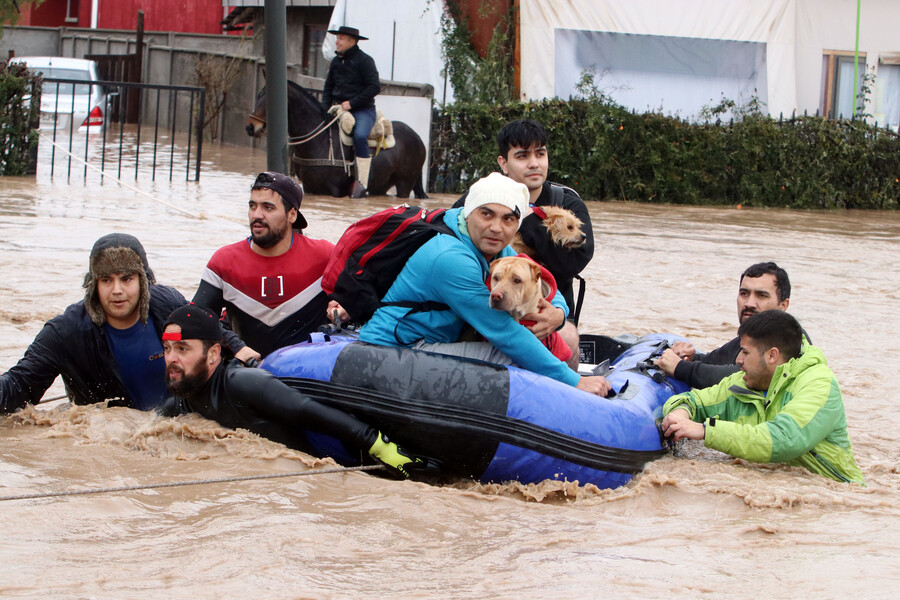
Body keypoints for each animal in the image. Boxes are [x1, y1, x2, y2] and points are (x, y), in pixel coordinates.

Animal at [246, 80, 428, 199]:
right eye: (258, 95)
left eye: (269, 98)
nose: (250, 127)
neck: (320, 142)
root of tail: (417, 138)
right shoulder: (310, 188)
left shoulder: (335, 192)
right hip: (382, 186)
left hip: (405, 184)